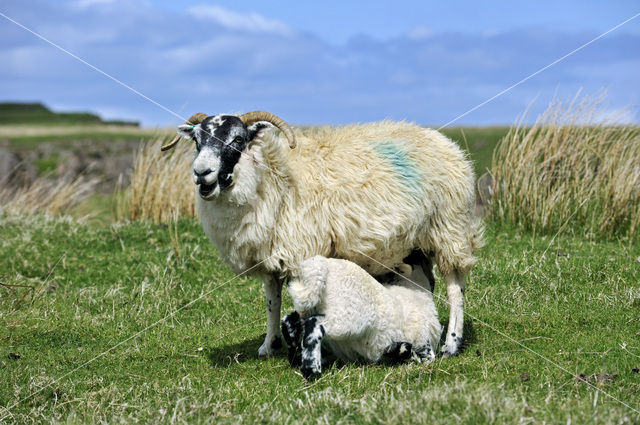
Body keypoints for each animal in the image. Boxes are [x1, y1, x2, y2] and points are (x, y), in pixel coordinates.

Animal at [162, 111, 482, 356]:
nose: (201, 173)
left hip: (448, 229)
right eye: (197, 141)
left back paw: (452, 344)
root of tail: (447, 144)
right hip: (416, 242)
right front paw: (269, 346)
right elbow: (272, 302)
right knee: (427, 283)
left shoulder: (303, 252)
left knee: (456, 287)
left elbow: (303, 304)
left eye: (238, 139)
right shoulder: (270, 256)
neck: (273, 177)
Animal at [282, 253, 442, 380]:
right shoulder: (423, 342)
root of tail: (321, 267)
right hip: (346, 318)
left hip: (309, 306)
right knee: (314, 324)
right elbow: (420, 357)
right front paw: (399, 351)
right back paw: (311, 370)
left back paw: (296, 356)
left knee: (289, 320)